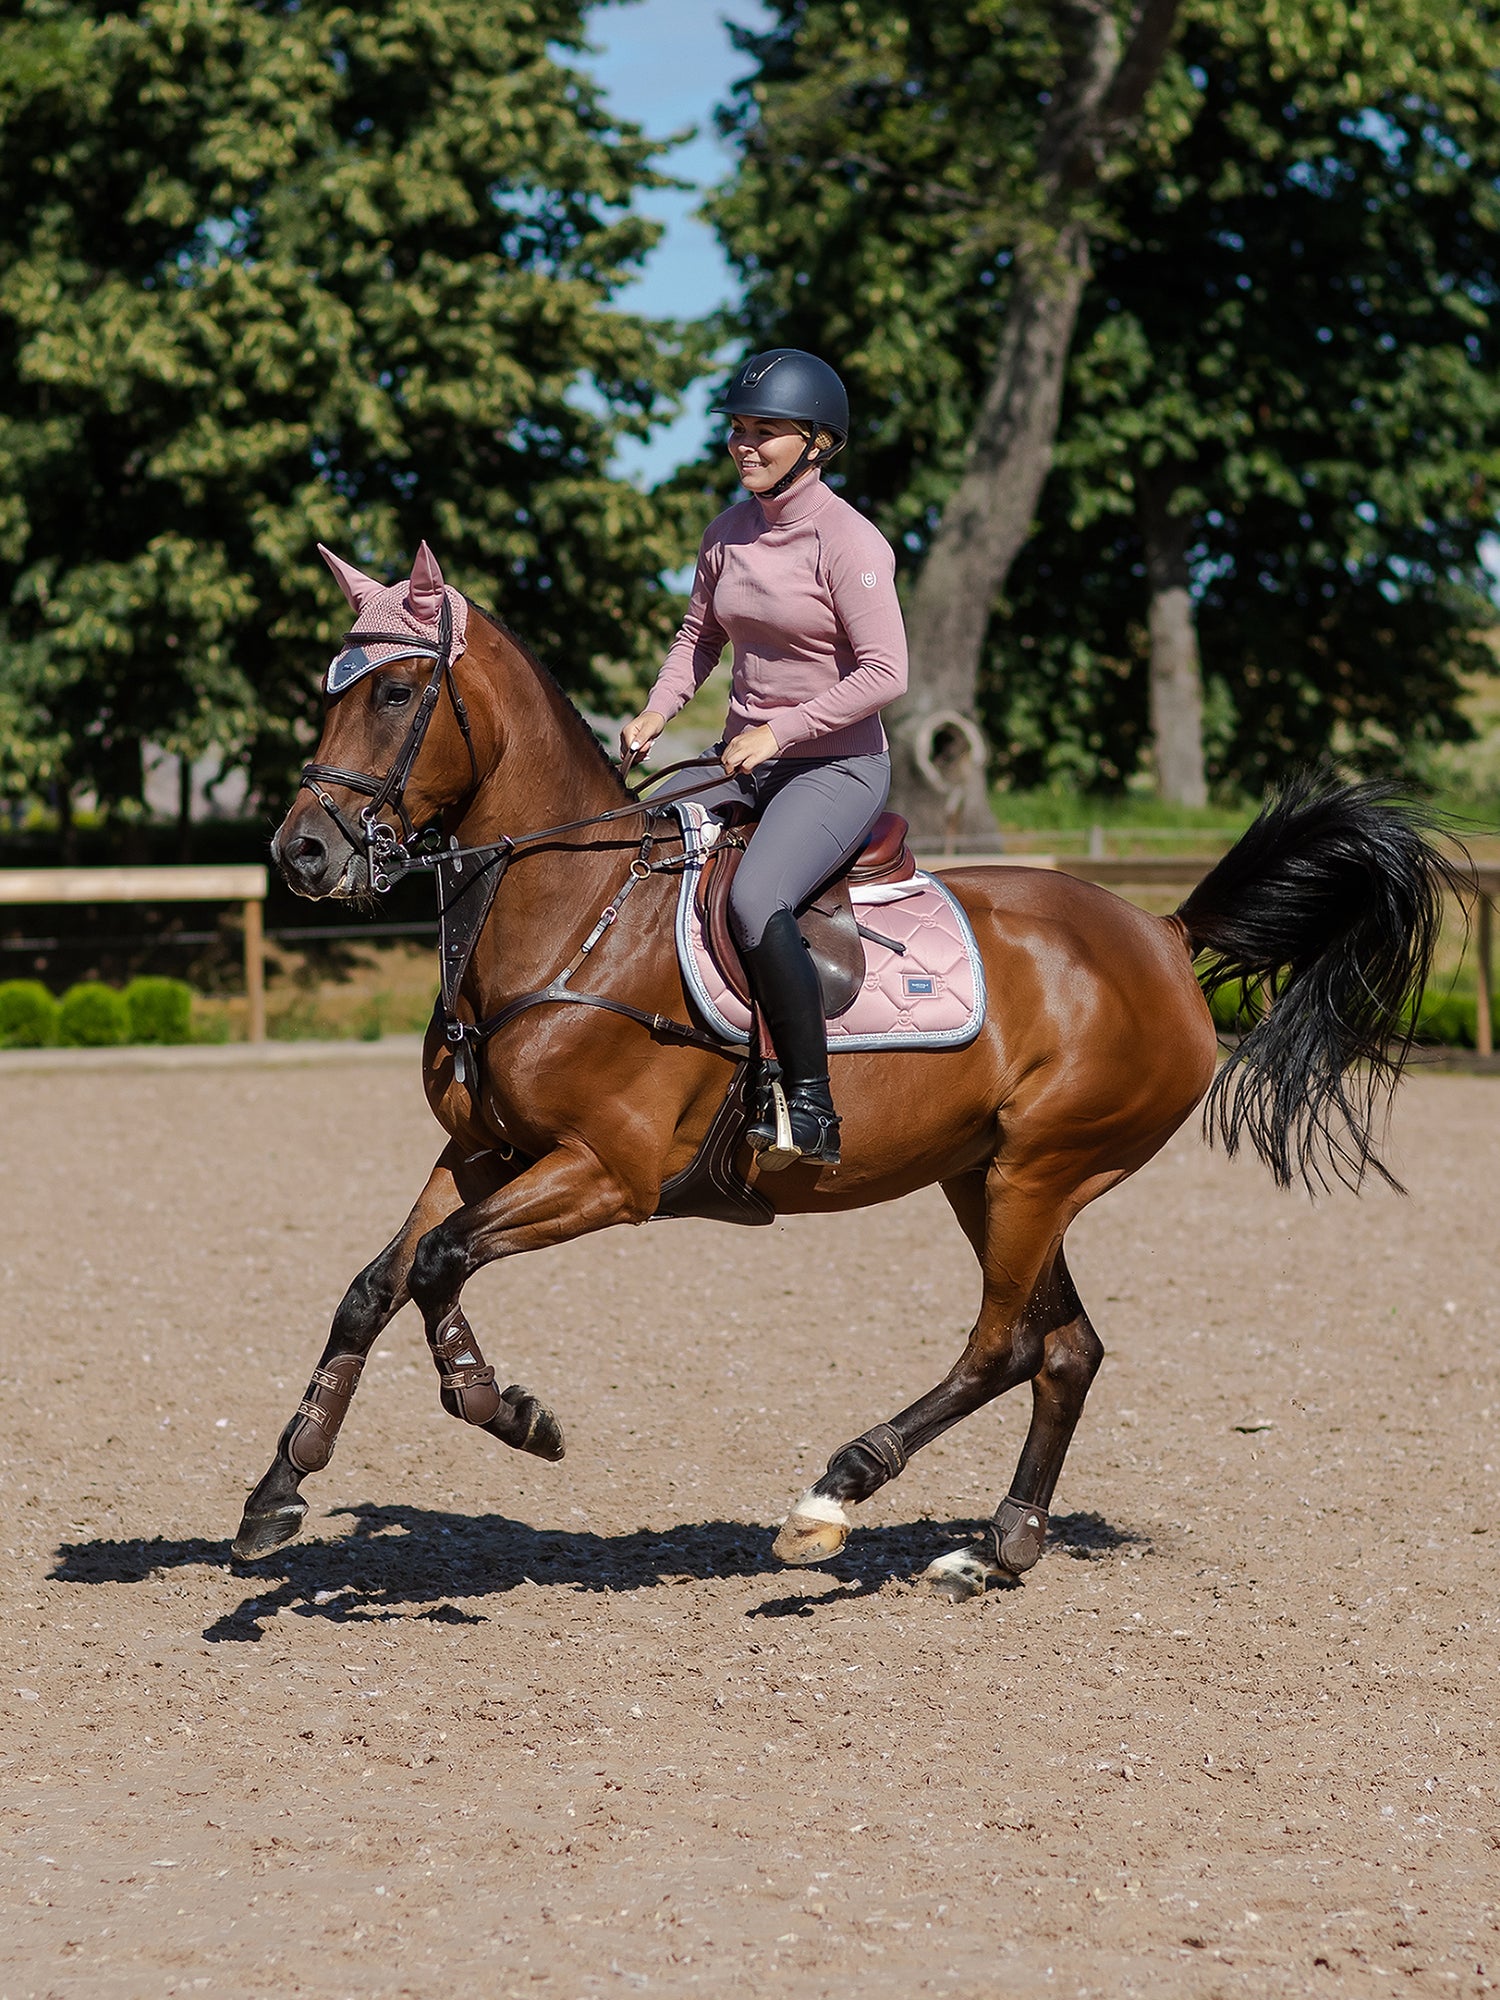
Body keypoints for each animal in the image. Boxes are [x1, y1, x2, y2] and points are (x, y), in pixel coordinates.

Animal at [232, 540, 1456, 1600]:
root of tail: (1161, 930)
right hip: (991, 1175)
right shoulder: (484, 1148)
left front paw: (508, 1409)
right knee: (1066, 1348)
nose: (303, 852)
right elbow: (375, 1284)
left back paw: (834, 1494)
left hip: (1041, 1171)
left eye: (396, 694)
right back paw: (998, 1545)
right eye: (332, 691)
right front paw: (279, 1489)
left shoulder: (603, 1174)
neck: (572, 913)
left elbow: (442, 1262)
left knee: (1005, 1342)